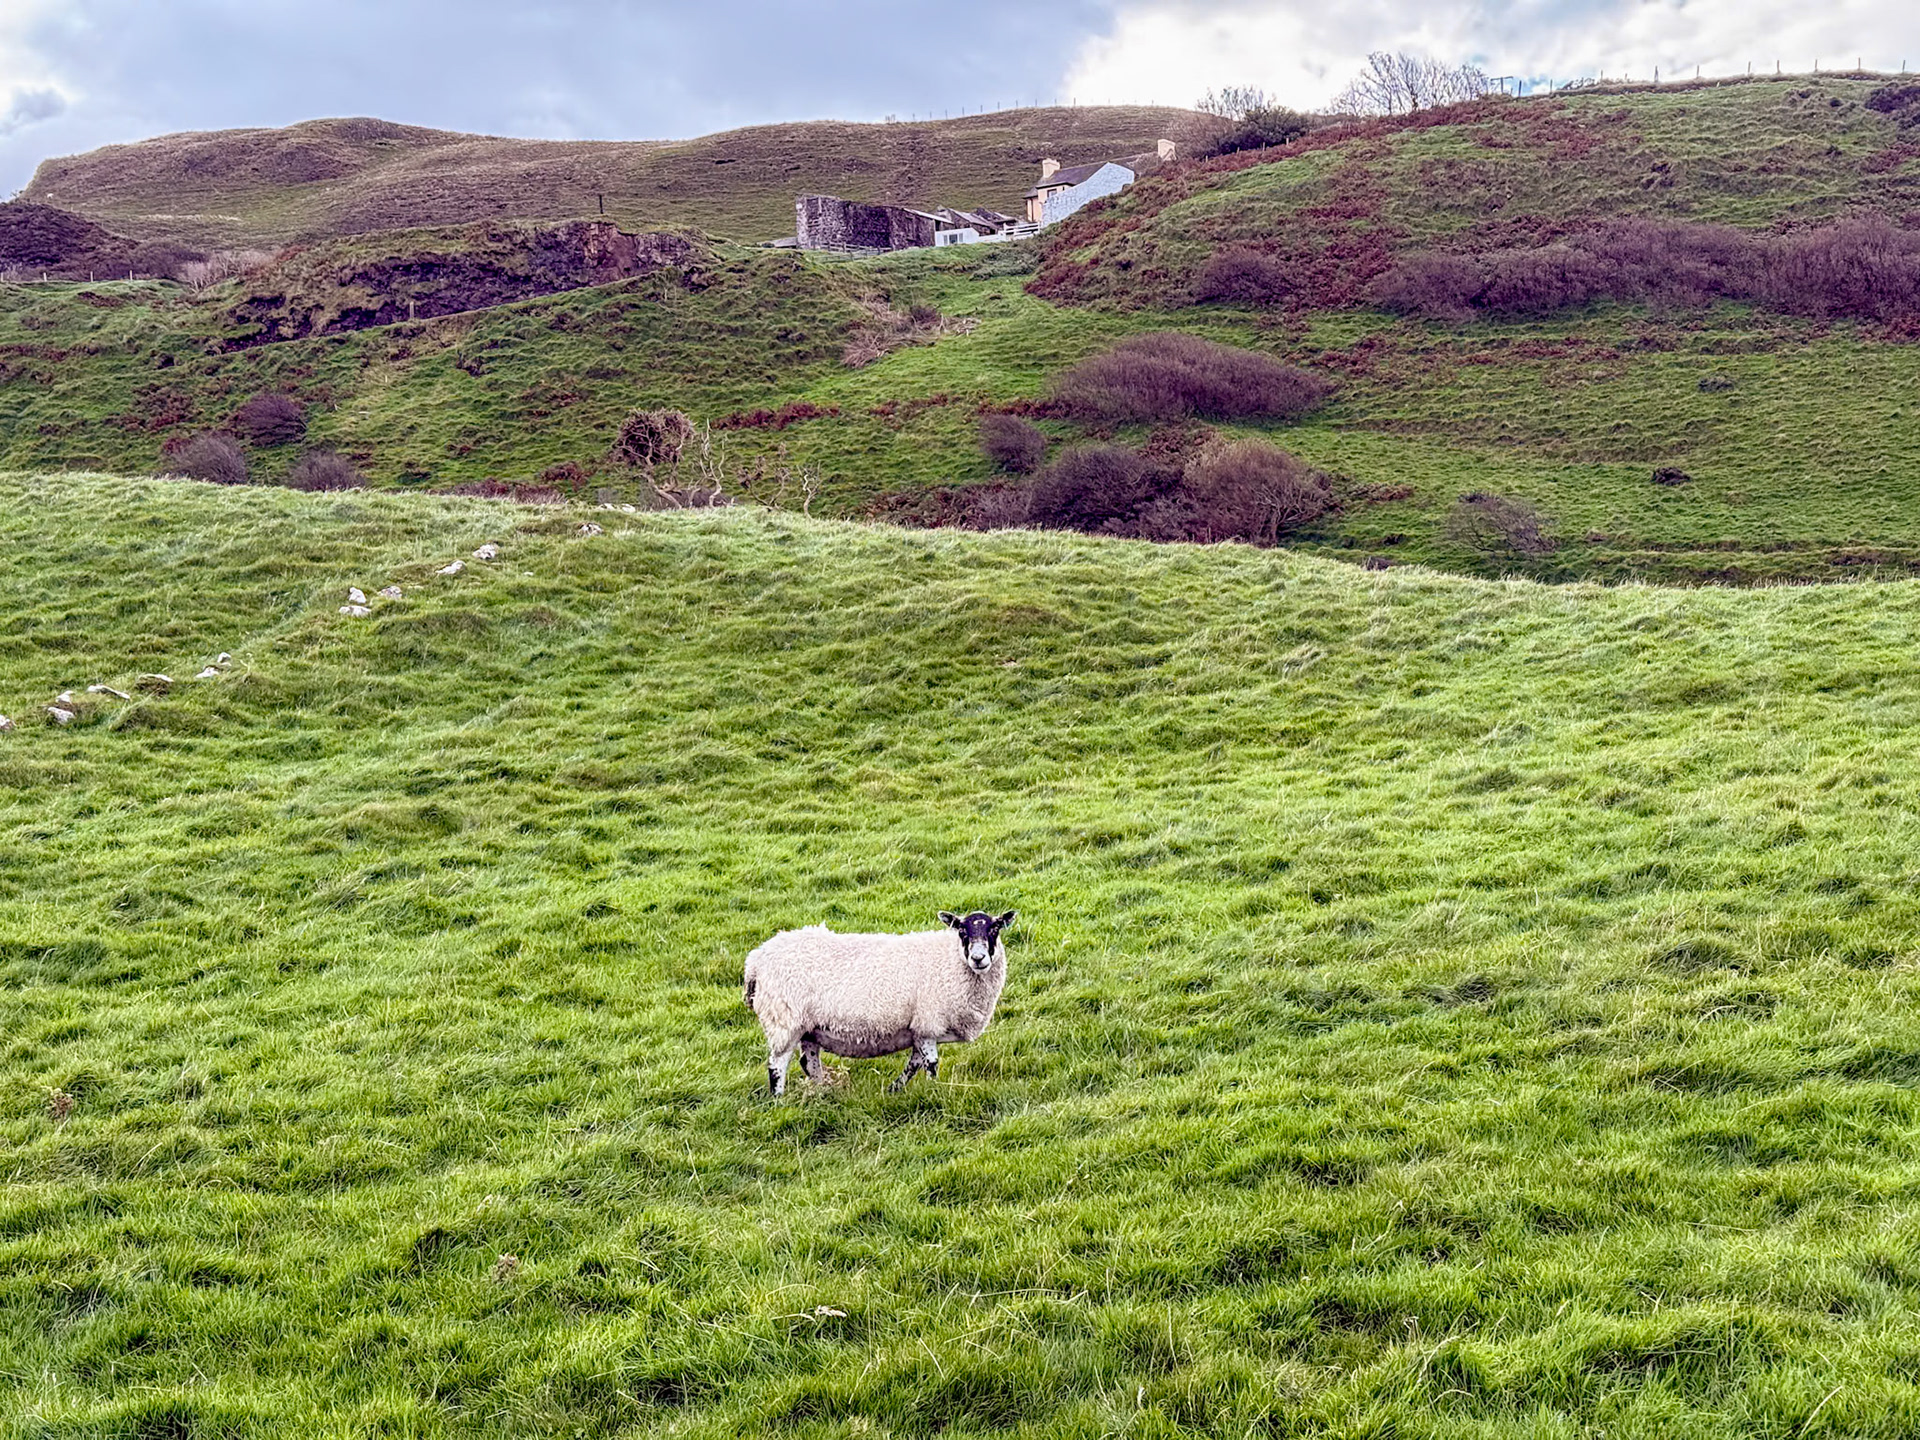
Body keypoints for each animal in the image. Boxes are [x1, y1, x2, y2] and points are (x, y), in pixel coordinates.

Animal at [743, 909, 1017, 1095]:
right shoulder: (928, 1023)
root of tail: (755, 960)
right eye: (962, 931)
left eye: (994, 930)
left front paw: (894, 1089)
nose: (978, 958)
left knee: (808, 1063)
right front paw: (935, 1090)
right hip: (784, 1020)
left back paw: (823, 1092)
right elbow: (931, 1064)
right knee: (777, 1065)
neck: (950, 961)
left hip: (809, 1027)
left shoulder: (918, 1028)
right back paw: (778, 1099)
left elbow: (914, 1064)